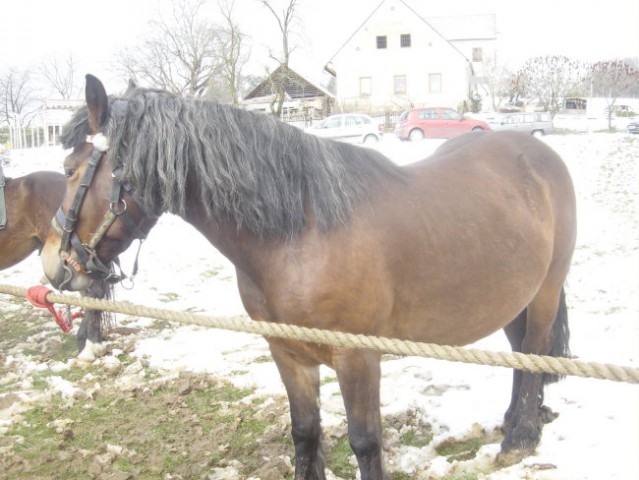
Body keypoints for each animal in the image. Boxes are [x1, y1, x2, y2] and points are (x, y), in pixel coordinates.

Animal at [40, 73, 576, 478]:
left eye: (69, 169)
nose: (53, 263)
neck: (300, 235)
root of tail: (537, 153)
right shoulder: (287, 352)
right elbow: (304, 432)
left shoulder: (358, 357)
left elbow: (365, 442)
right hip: (513, 296)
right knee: (522, 355)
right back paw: (515, 423)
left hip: (545, 292)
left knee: (536, 352)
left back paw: (520, 438)